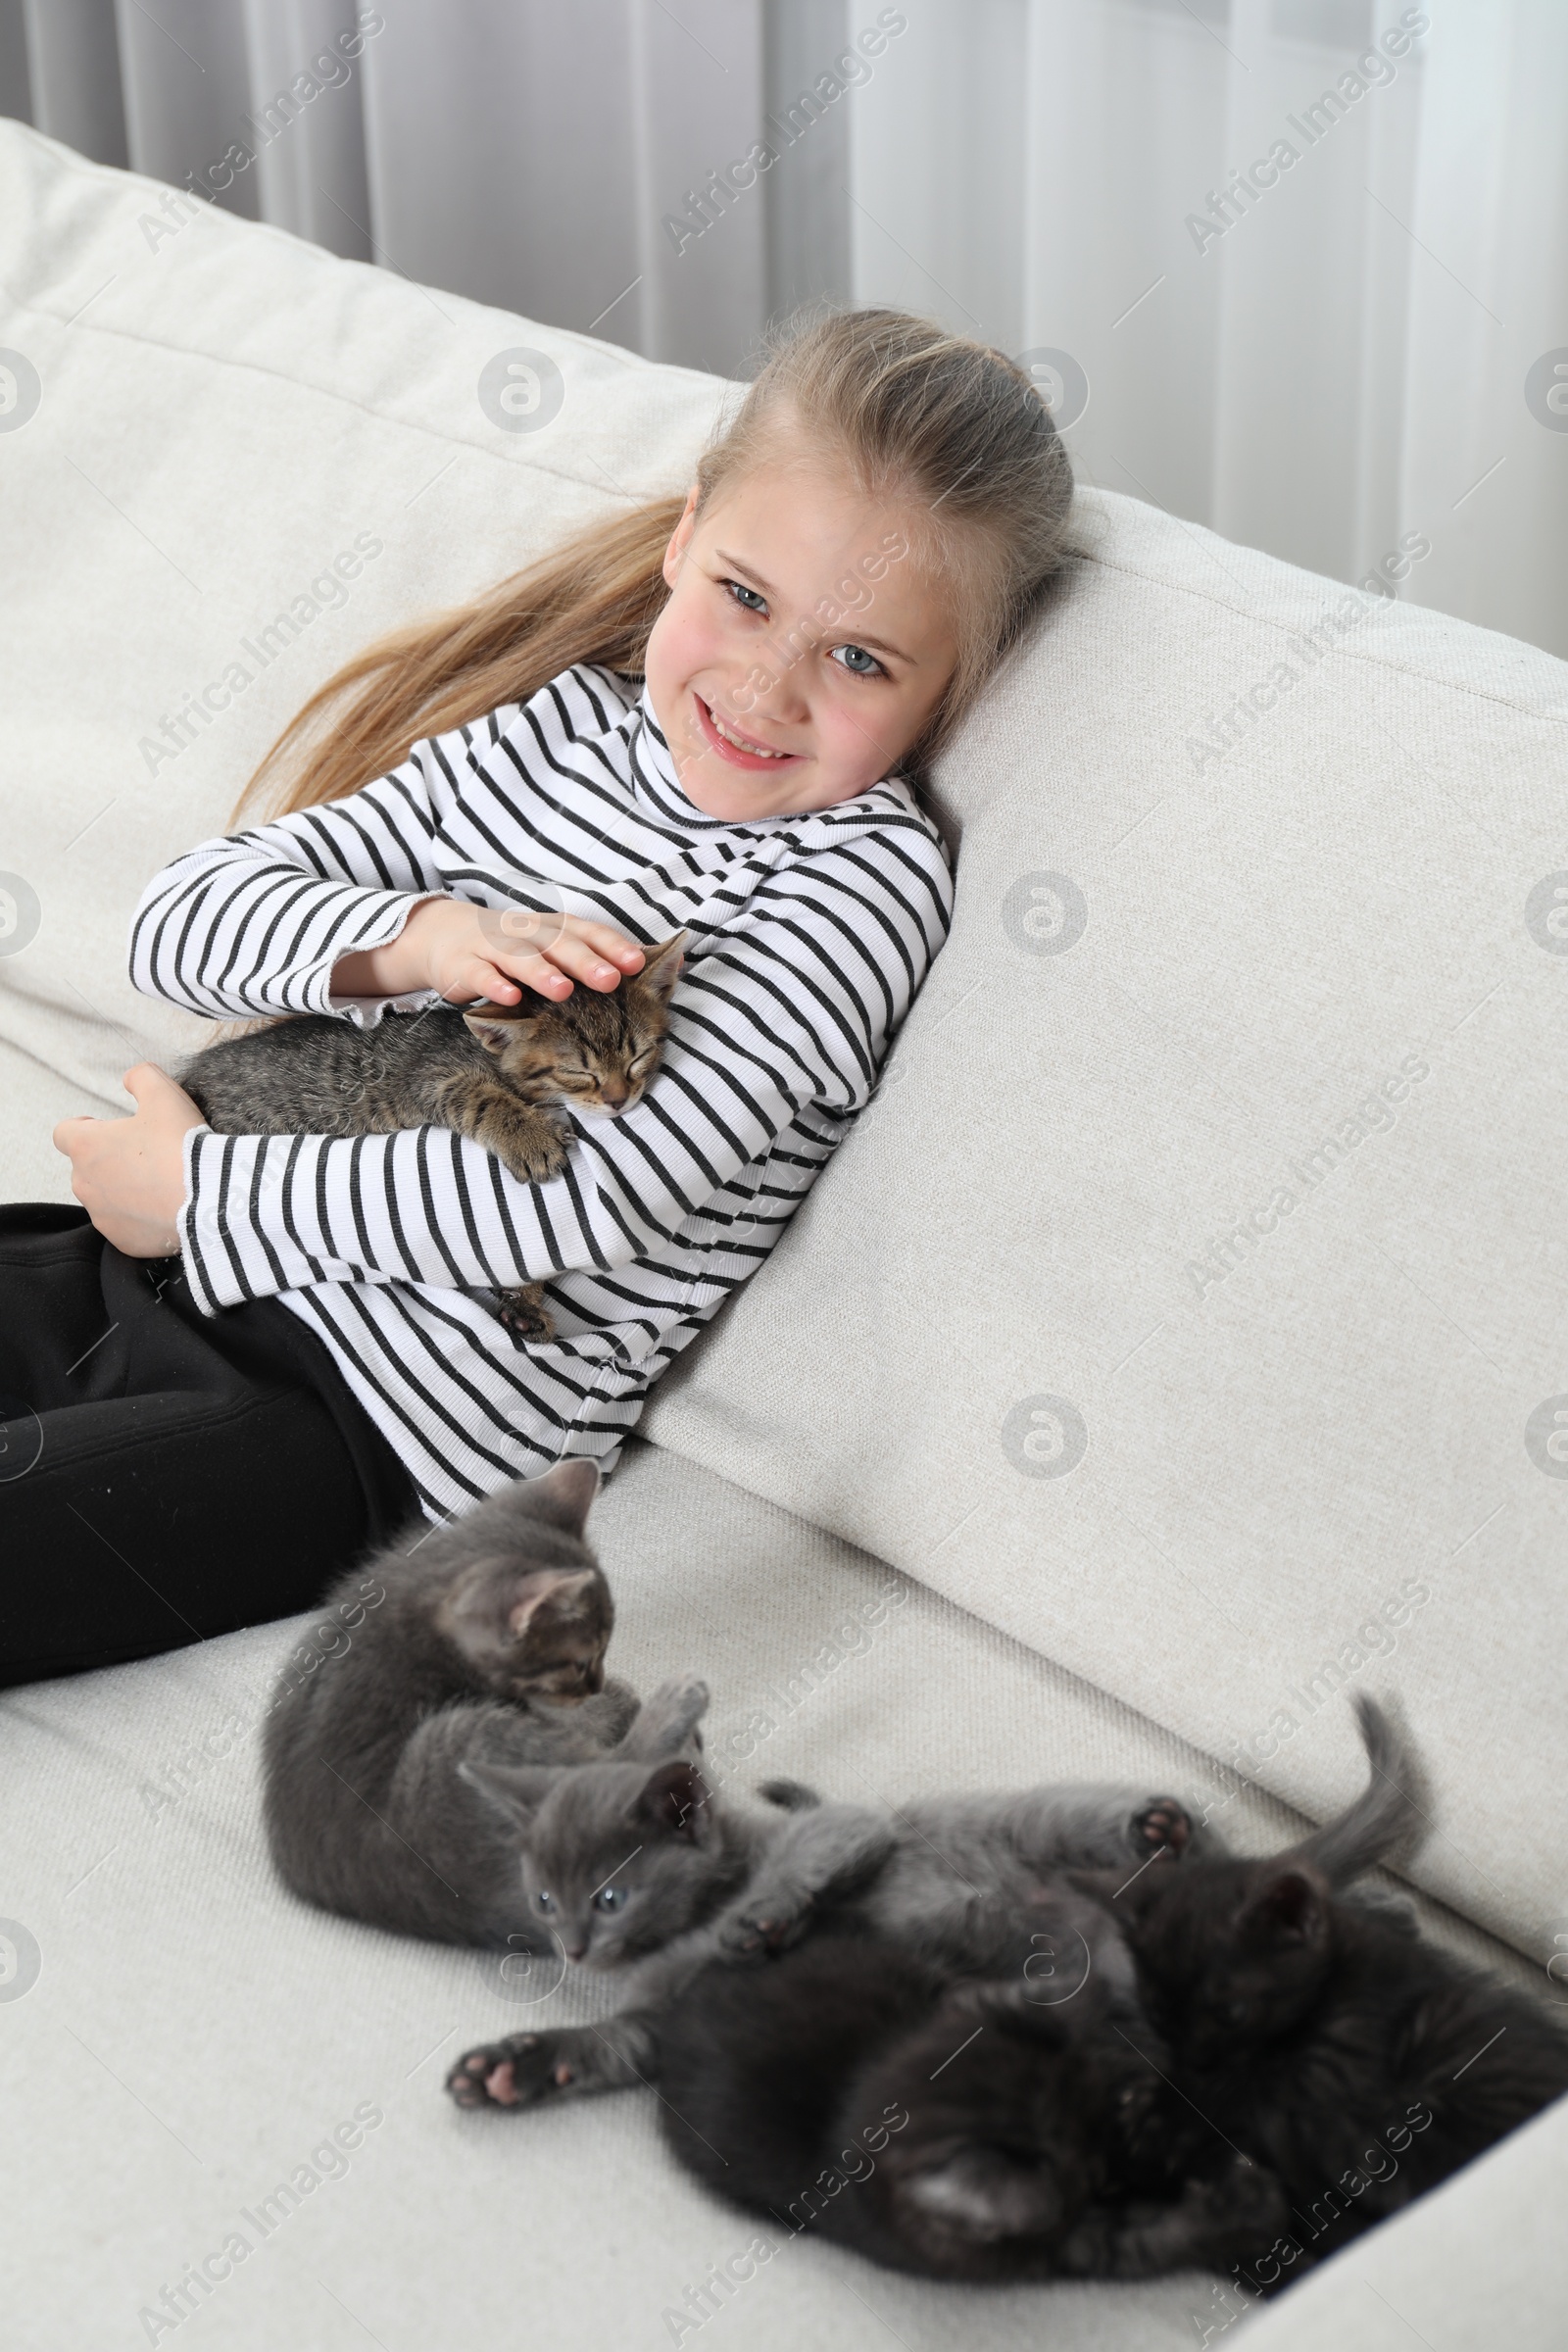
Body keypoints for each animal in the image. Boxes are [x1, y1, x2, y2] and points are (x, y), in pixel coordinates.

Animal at [177, 931, 681, 1345]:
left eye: (639, 1056)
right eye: (578, 1071)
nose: (619, 1099)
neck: (488, 1056)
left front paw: (524, 1300)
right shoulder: (432, 1080)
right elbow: (482, 1098)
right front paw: (529, 1137)